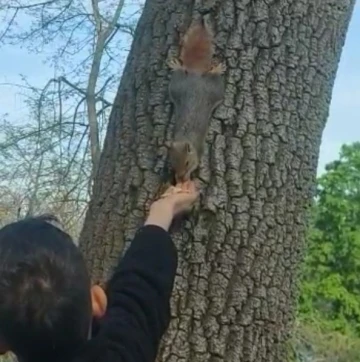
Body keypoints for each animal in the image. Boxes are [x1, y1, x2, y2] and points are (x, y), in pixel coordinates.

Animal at [166, 18, 225, 188]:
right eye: (172, 163)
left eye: (187, 163)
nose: (180, 177)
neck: (184, 139)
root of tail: (196, 73)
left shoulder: (198, 154)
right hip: (178, 88)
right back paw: (177, 65)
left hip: (213, 90)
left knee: (214, 79)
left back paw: (217, 69)